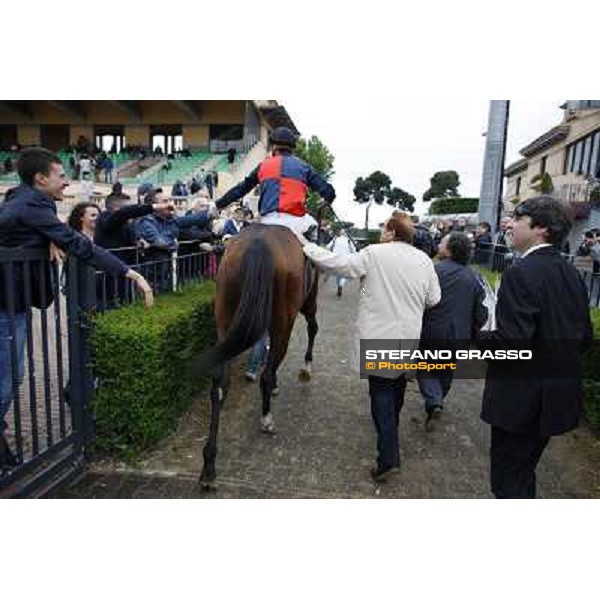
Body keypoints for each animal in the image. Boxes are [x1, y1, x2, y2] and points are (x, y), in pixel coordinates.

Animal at [197, 223, 318, 490]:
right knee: (269, 368)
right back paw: (266, 417)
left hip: (224, 318)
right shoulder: (305, 305)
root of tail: (259, 243)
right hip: (286, 318)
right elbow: (310, 331)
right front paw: (305, 369)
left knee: (219, 385)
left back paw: (209, 465)